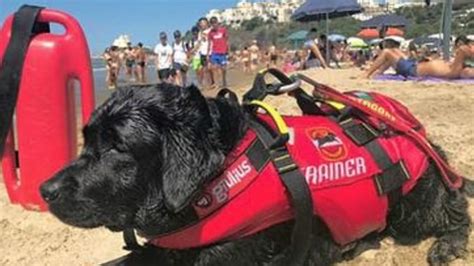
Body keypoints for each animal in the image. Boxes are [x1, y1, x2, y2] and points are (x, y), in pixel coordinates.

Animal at [40, 84, 474, 264]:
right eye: (86, 141)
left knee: (456, 210)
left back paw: (448, 244)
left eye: (117, 147)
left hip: (415, 204)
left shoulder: (229, 252)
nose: (45, 189)